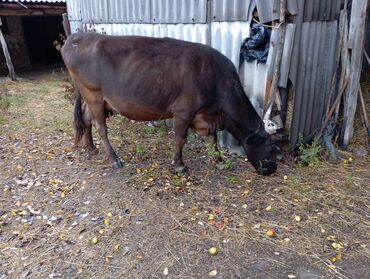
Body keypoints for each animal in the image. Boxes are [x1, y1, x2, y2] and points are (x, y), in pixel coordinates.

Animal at [62, 32, 278, 176]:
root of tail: (76, 37)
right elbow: (180, 138)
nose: (273, 169)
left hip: (94, 99)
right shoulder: (184, 111)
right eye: (270, 147)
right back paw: (114, 159)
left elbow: (213, 138)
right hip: (94, 95)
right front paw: (179, 165)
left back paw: (91, 148)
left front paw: (218, 159)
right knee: (101, 127)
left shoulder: (205, 115)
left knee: (86, 119)